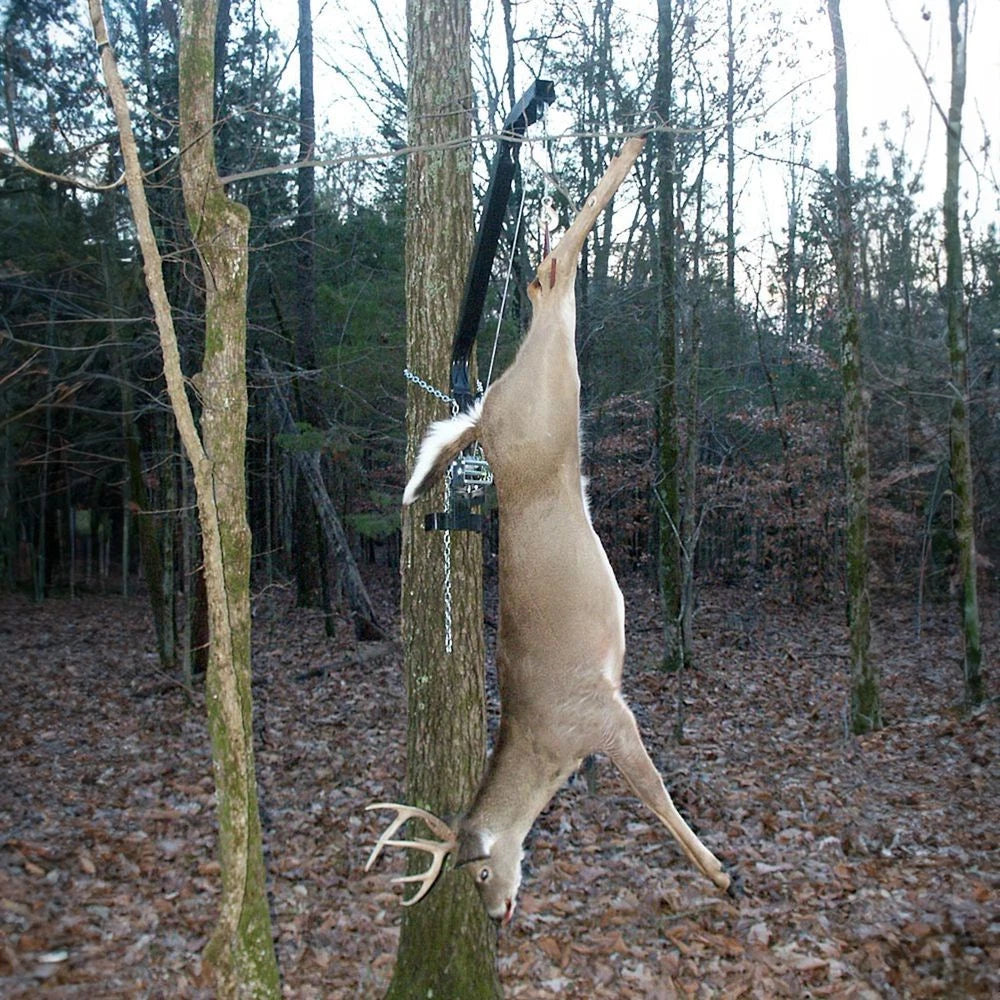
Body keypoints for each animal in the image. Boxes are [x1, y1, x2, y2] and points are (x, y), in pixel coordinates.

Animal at [366, 135, 732, 925]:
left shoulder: (605, 718)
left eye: (475, 870)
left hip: (548, 395)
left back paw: (633, 139)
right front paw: (723, 873)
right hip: (553, 396)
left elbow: (656, 798)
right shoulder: (602, 720)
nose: (497, 913)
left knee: (547, 267)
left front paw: (724, 874)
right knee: (545, 277)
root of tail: (483, 414)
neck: (546, 751)